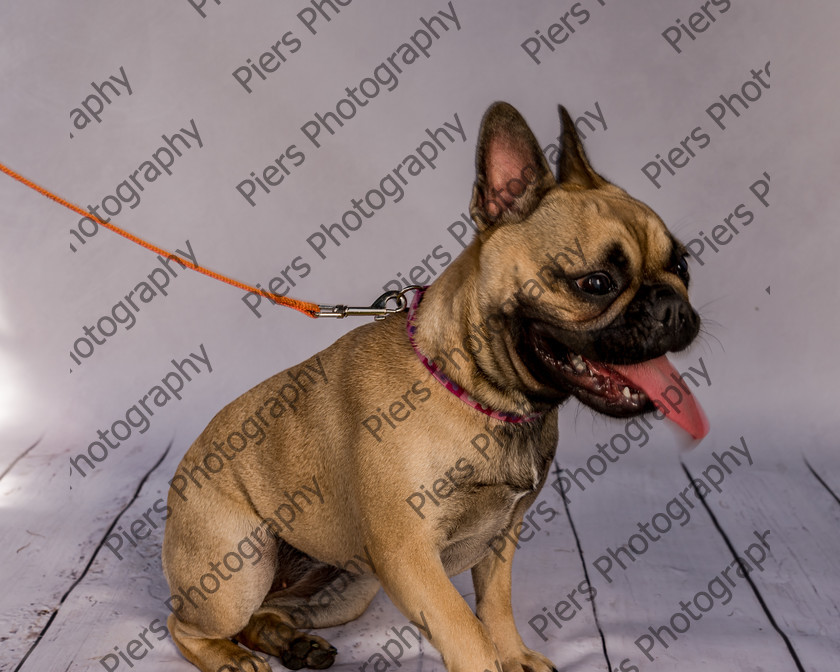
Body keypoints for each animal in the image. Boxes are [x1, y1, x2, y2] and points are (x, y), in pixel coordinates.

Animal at [162, 101, 708, 672]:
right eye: (596, 283)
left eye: (683, 265)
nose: (674, 307)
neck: (483, 396)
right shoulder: (410, 556)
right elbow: (464, 630)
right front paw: (489, 662)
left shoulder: (500, 539)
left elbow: (495, 605)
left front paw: (514, 656)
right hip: (239, 572)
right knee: (189, 625)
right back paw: (229, 657)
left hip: (351, 589)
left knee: (266, 615)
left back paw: (295, 643)